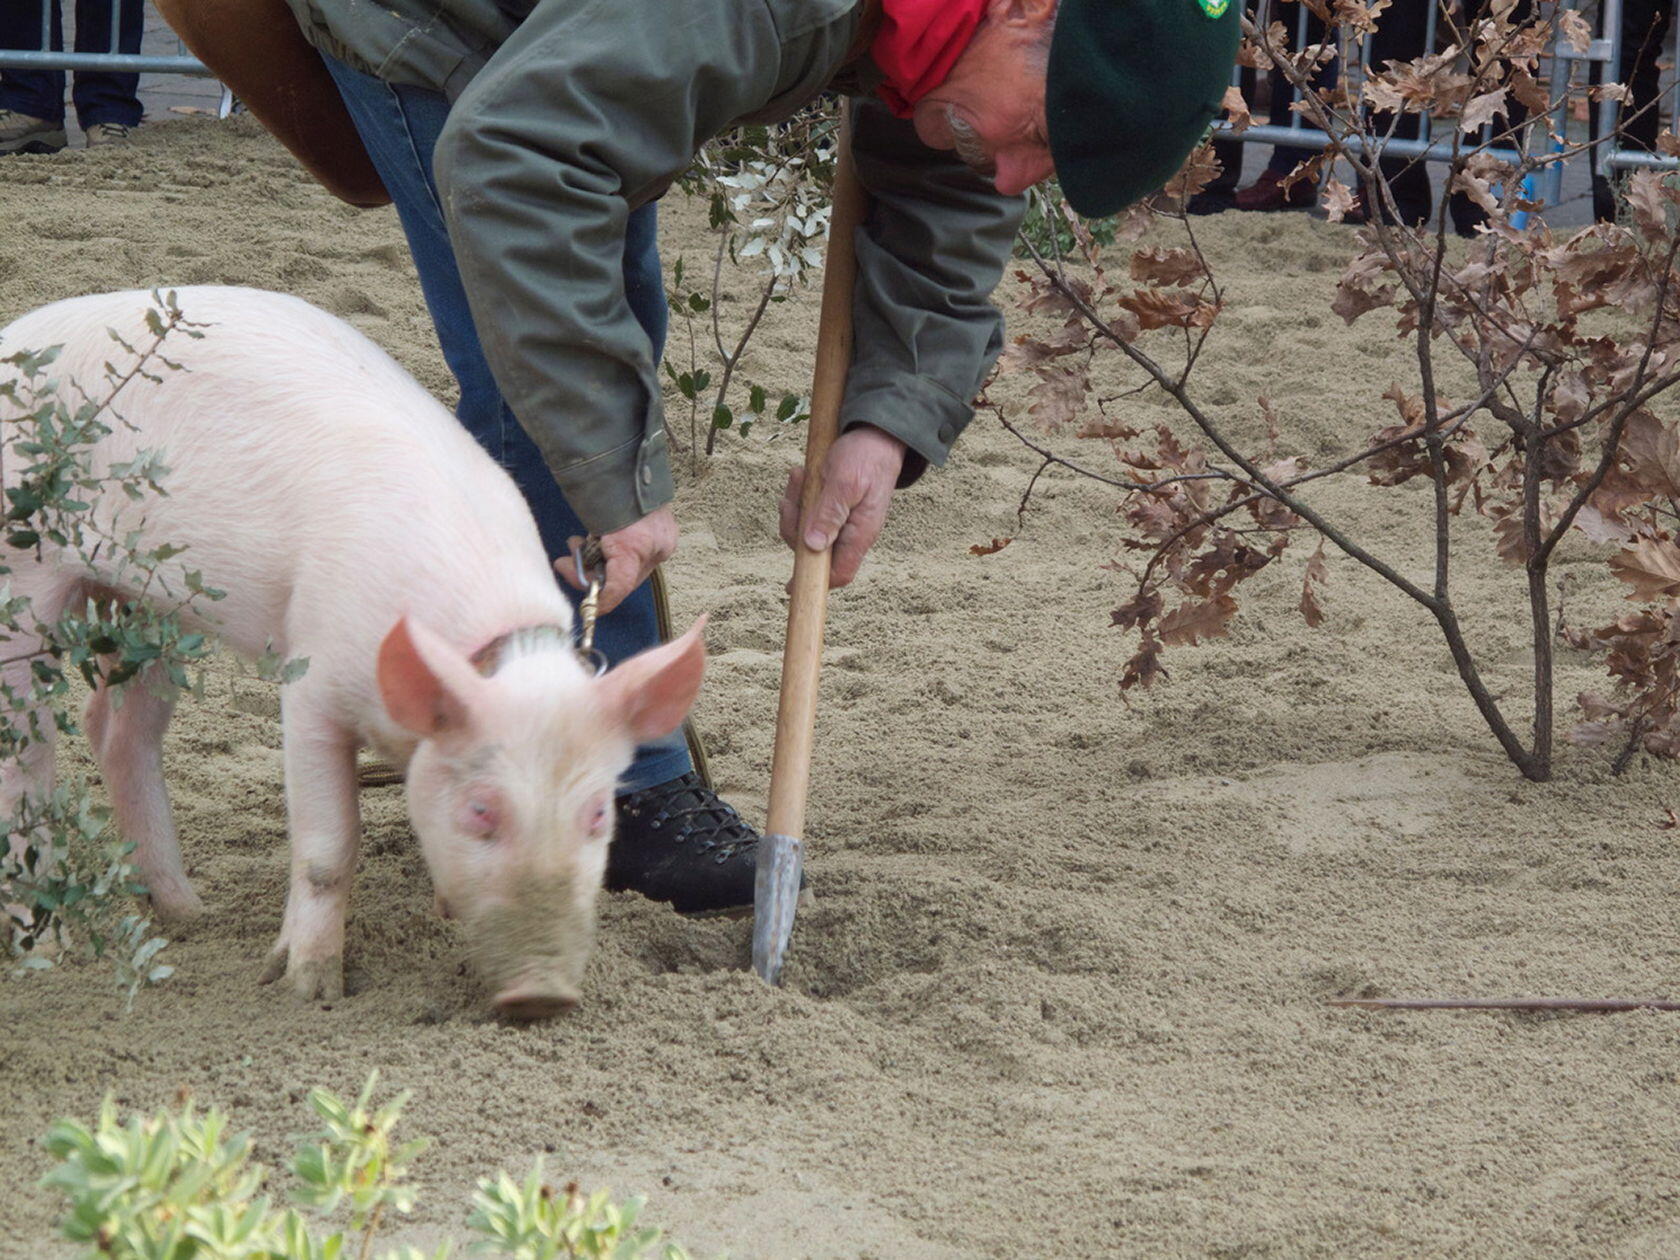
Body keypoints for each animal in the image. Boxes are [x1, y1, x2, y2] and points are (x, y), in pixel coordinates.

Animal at [0, 285, 702, 1014]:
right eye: (482, 809)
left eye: (598, 812)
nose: (543, 997)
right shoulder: (311, 682)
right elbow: (327, 849)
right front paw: (308, 988)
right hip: (21, 574)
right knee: (25, 753)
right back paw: (49, 947)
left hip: (154, 606)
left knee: (119, 731)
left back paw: (189, 913)